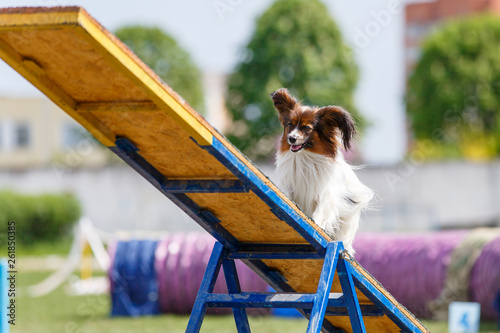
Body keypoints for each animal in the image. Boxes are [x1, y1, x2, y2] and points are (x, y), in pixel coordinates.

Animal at [272, 88, 374, 254]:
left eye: (307, 128)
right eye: (290, 125)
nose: (291, 138)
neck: (304, 156)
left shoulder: (326, 194)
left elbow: (320, 212)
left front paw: (316, 224)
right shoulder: (288, 184)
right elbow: (287, 196)